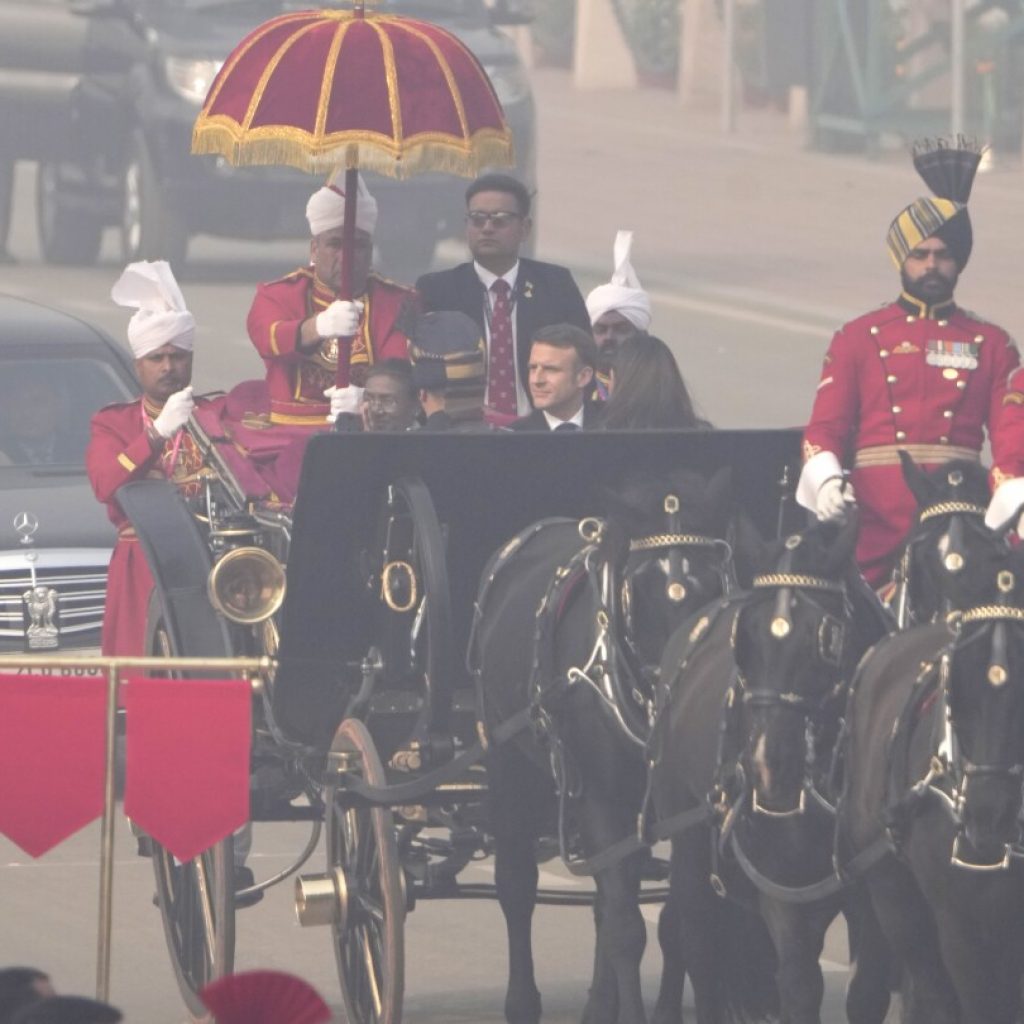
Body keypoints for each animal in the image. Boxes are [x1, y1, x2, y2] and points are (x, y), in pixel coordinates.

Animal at [471, 466, 737, 1024]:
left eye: (710, 586)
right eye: (639, 590)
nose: (678, 688)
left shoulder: (682, 812)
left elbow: (683, 919)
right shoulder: (600, 799)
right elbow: (626, 929)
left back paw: (597, 1003)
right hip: (507, 762)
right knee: (517, 885)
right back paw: (522, 1001)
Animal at [651, 520, 892, 1024]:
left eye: (826, 639)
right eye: (745, 639)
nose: (765, 764)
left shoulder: (872, 901)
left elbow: (867, 994)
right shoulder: (784, 898)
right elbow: (798, 988)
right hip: (688, 849)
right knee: (697, 947)